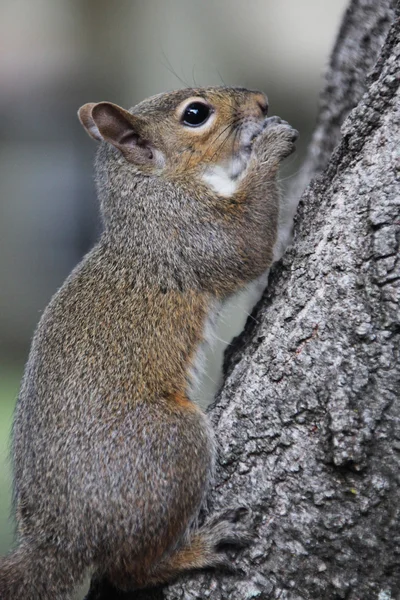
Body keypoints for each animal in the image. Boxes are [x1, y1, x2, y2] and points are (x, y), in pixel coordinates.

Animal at [0, 86, 296, 596]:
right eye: (195, 114)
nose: (261, 101)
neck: (149, 191)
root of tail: (59, 541)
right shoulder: (188, 230)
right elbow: (247, 242)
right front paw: (271, 144)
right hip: (169, 446)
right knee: (128, 571)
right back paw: (196, 551)